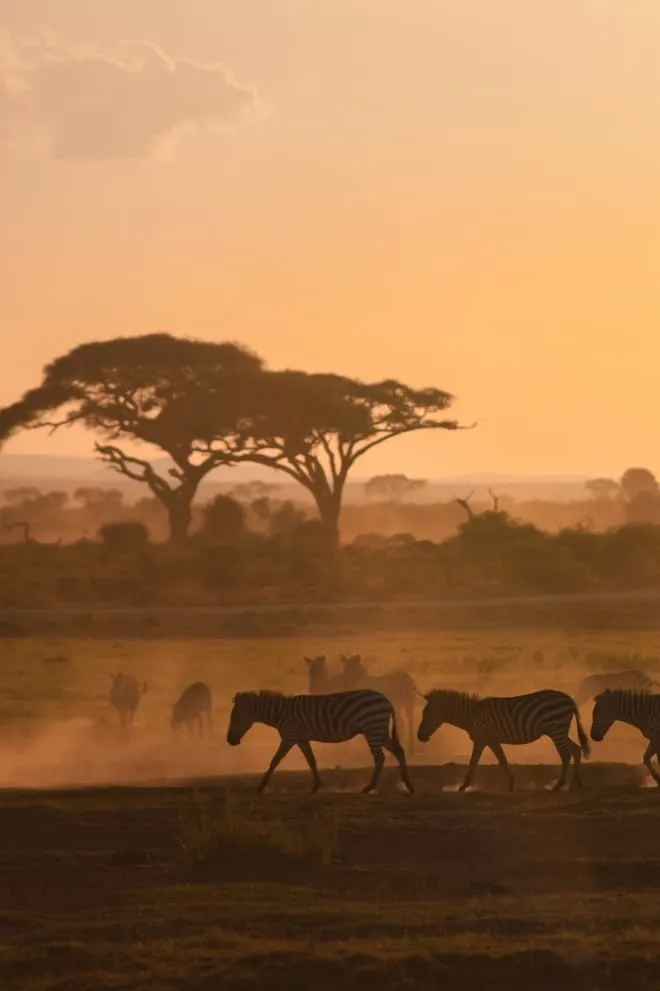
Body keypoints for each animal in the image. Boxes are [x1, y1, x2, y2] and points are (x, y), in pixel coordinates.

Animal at [226, 689, 414, 795]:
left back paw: (370, 787)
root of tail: (386, 700)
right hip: (379, 730)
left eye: (236, 716)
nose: (229, 741)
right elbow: (311, 761)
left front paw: (261, 786)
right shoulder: (301, 738)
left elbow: (275, 760)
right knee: (398, 750)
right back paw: (408, 784)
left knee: (380, 758)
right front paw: (317, 785)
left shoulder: (290, 736)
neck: (280, 713)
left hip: (372, 728)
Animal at [417, 688, 590, 791]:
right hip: (558, 730)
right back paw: (578, 782)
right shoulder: (492, 741)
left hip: (556, 729)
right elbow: (502, 761)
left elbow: (473, 762)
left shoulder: (481, 739)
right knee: (576, 749)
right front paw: (511, 783)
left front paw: (463, 786)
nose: (419, 736)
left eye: (427, 714)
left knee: (566, 755)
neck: (471, 716)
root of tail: (569, 699)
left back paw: (560, 785)